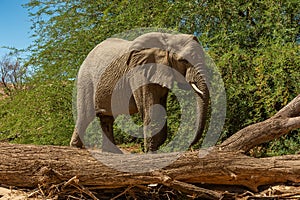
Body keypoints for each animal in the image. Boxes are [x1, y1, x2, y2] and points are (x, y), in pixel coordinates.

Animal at [70, 31, 209, 153]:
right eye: (183, 61)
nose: (191, 144)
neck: (169, 38)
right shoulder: (139, 72)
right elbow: (150, 108)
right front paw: (151, 152)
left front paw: (155, 149)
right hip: (85, 79)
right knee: (86, 114)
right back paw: (76, 147)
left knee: (107, 118)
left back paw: (113, 152)